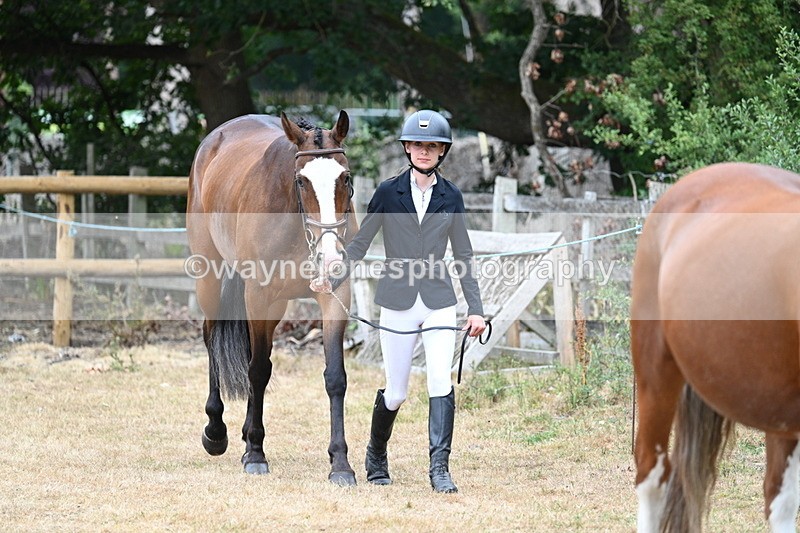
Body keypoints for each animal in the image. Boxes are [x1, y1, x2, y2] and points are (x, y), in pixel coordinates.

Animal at [186, 111, 358, 485]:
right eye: (301, 182)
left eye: (345, 178)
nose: (330, 256)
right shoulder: (258, 295)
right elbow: (258, 371)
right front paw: (255, 453)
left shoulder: (335, 296)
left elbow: (336, 378)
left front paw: (340, 463)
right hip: (209, 277)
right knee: (211, 337)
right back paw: (216, 431)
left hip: (274, 305)